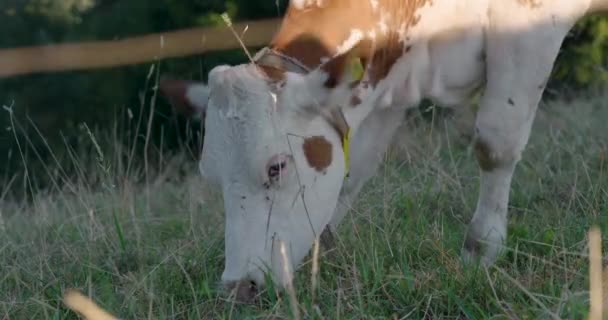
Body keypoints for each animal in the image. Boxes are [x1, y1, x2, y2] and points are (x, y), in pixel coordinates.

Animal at [158, 0, 608, 302]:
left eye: (277, 167)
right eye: (213, 177)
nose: (238, 288)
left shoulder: (527, 22)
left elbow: (495, 142)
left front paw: (481, 250)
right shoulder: (390, 84)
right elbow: (354, 172)